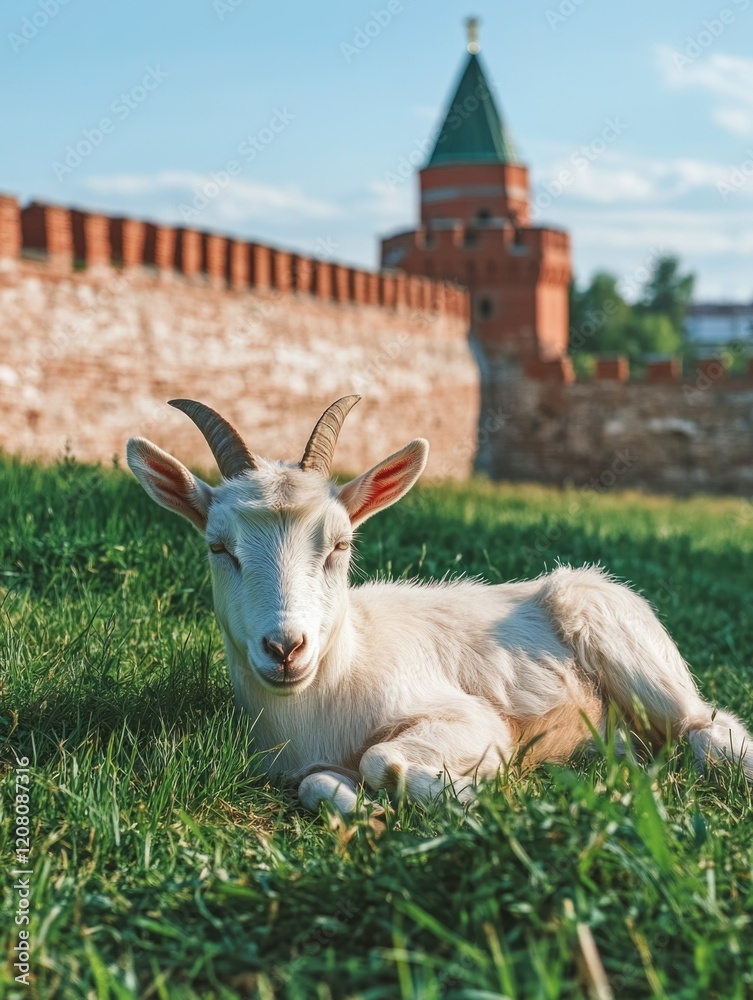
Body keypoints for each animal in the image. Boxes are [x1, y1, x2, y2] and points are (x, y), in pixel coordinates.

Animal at [127, 395, 753, 814]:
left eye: (340, 545)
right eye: (218, 547)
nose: (285, 648)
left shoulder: (468, 717)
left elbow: (383, 759)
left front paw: (478, 791)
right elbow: (317, 785)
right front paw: (367, 811)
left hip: (634, 653)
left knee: (708, 728)